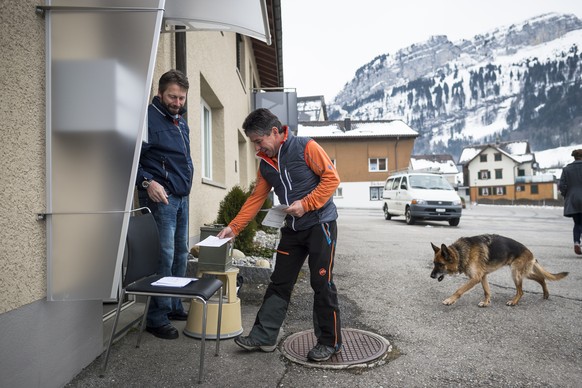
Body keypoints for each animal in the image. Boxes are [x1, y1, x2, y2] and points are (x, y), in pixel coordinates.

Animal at [432, 233, 568, 306]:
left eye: (440, 264)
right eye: (434, 263)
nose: (431, 276)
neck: (461, 252)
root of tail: (530, 252)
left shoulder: (475, 278)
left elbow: (459, 290)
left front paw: (450, 300)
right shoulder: (482, 276)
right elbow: (487, 291)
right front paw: (486, 303)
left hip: (516, 273)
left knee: (521, 291)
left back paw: (514, 302)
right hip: (524, 273)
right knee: (541, 278)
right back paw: (545, 293)